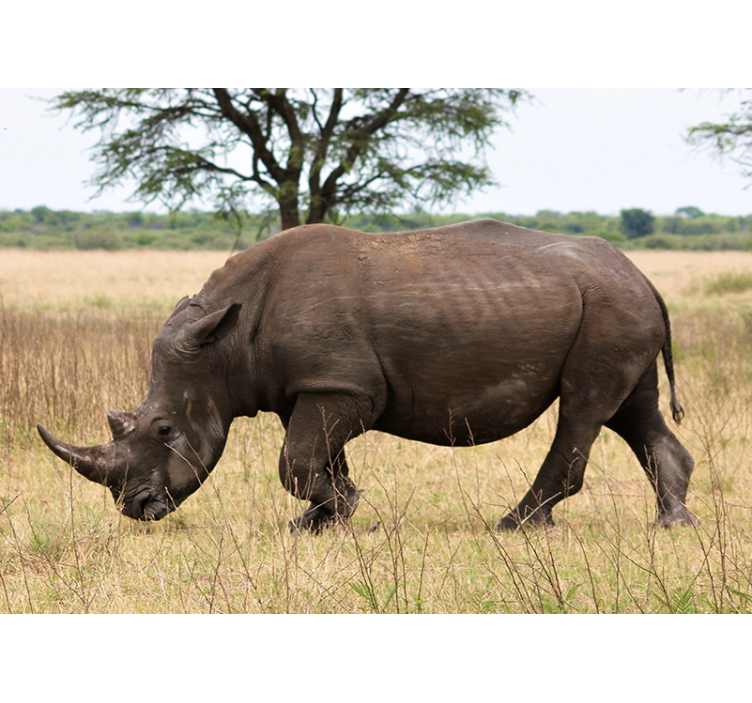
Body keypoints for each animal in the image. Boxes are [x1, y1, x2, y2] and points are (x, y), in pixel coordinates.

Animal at [37, 219, 695, 531]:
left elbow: (296, 461)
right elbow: (318, 459)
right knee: (631, 409)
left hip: (609, 307)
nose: (137, 508)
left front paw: (346, 512)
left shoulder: (341, 385)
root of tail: (643, 275)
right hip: (617, 307)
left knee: (583, 406)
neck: (223, 346)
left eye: (166, 431)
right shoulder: (316, 385)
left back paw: (516, 527)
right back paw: (672, 524)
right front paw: (321, 521)